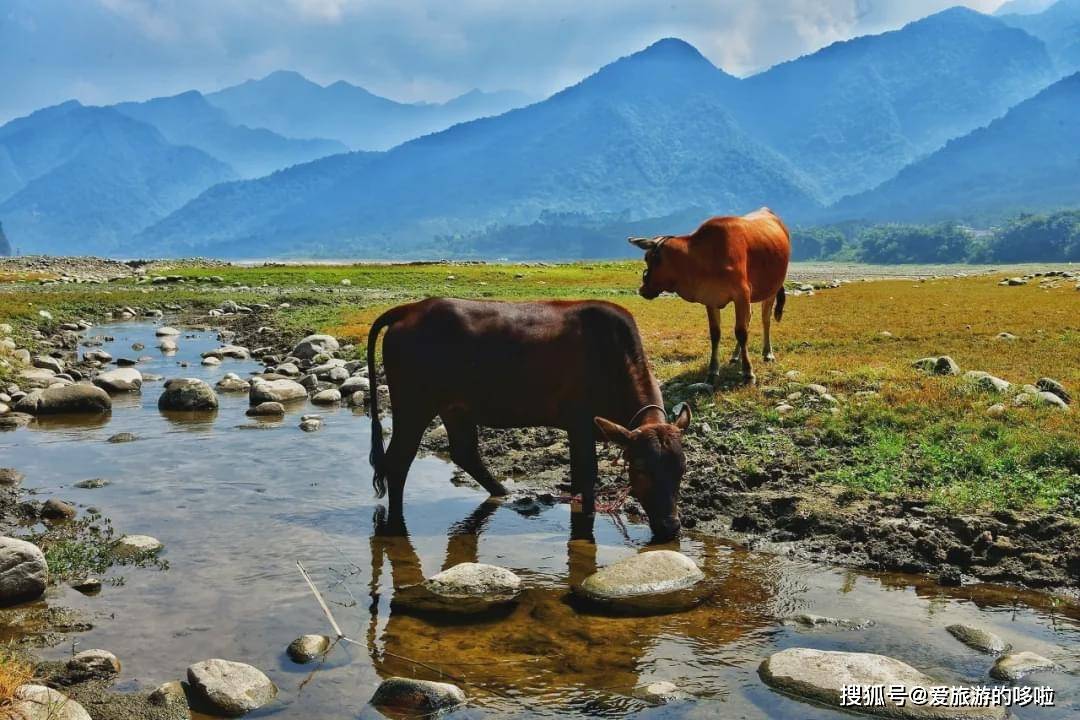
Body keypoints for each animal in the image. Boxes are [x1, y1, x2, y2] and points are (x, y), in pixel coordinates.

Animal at [367, 297, 691, 539]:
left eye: (682, 469)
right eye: (641, 468)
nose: (670, 527)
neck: (611, 358)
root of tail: (411, 309)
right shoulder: (579, 425)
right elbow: (585, 478)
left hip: (455, 408)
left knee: (464, 452)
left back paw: (504, 494)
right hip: (414, 406)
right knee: (398, 461)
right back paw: (396, 525)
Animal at [630, 207, 790, 386]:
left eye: (647, 258)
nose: (642, 290)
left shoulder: (741, 294)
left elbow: (741, 332)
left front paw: (748, 373)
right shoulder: (711, 297)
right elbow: (715, 334)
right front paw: (712, 371)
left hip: (771, 288)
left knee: (765, 319)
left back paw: (767, 353)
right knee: (749, 318)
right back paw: (736, 356)